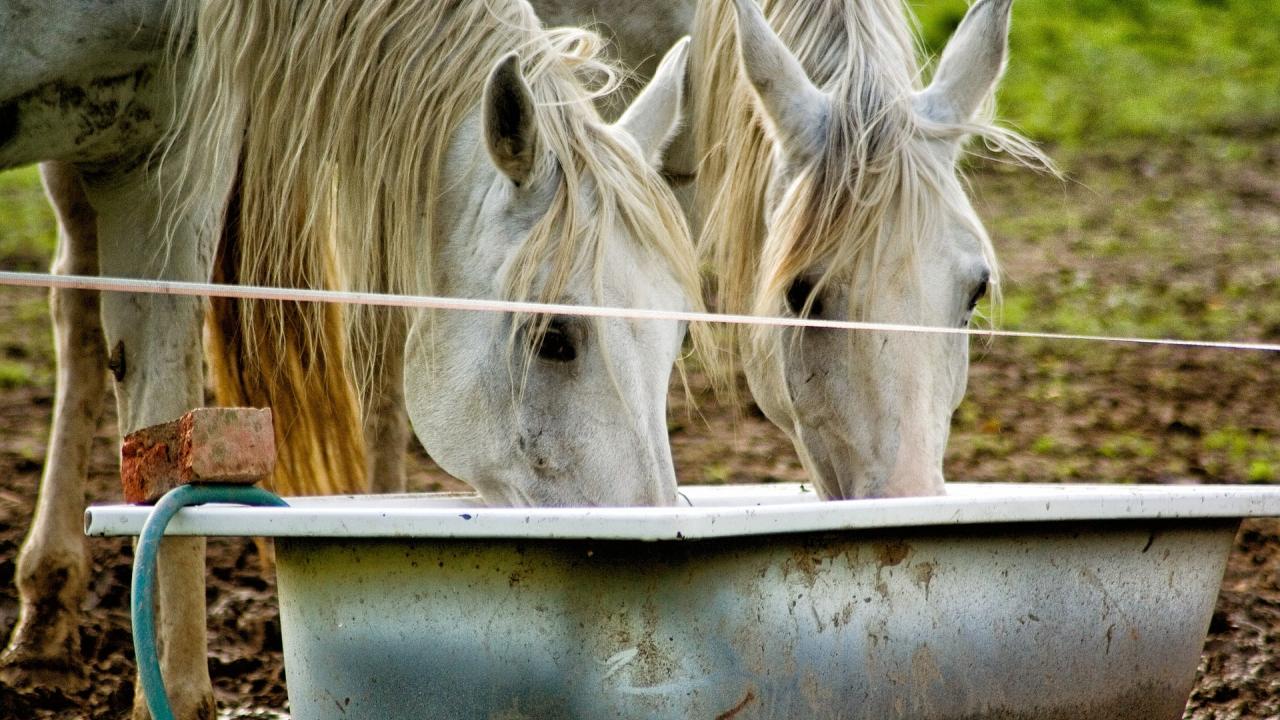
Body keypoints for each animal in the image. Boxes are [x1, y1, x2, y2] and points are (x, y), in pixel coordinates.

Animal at [2, 1, 701, 712]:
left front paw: (174, 695)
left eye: (679, 338)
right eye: (552, 336)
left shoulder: (161, 156)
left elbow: (165, 434)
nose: (652, 576)